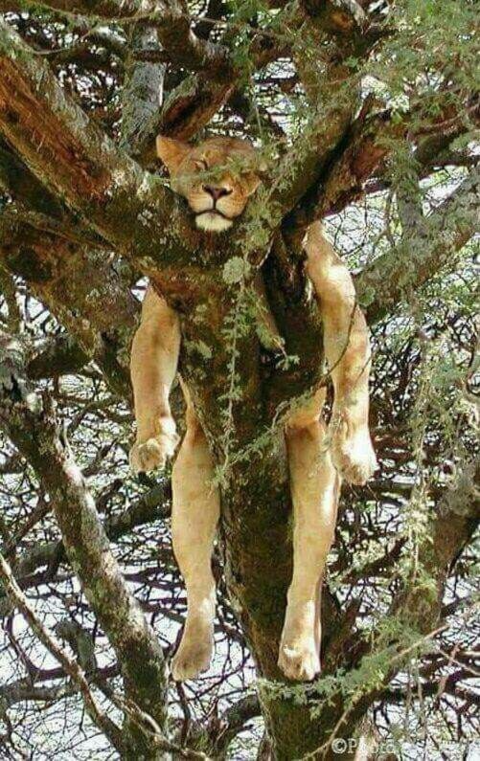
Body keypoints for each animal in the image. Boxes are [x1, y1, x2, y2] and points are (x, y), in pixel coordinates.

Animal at [129, 135, 377, 682]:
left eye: (250, 175)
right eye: (201, 165)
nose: (217, 191)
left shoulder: (336, 290)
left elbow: (353, 376)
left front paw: (356, 453)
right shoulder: (163, 301)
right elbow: (147, 376)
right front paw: (151, 440)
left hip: (312, 468)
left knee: (305, 573)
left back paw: (299, 650)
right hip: (196, 469)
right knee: (199, 579)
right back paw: (192, 650)